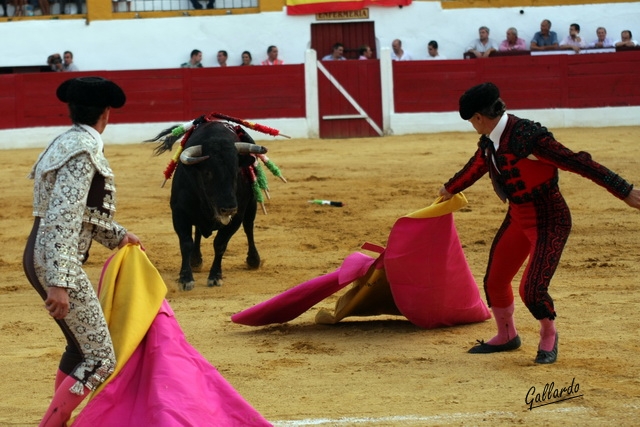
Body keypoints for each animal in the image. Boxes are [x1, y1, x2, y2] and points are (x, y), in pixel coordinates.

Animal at [152, 122, 264, 292]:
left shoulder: (236, 218)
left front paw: (215, 276)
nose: (229, 208)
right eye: (207, 173)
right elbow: (186, 243)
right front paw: (185, 278)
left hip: (251, 205)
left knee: (248, 227)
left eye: (236, 171)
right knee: (198, 231)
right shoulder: (179, 214)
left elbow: (220, 244)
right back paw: (195, 260)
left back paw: (253, 260)